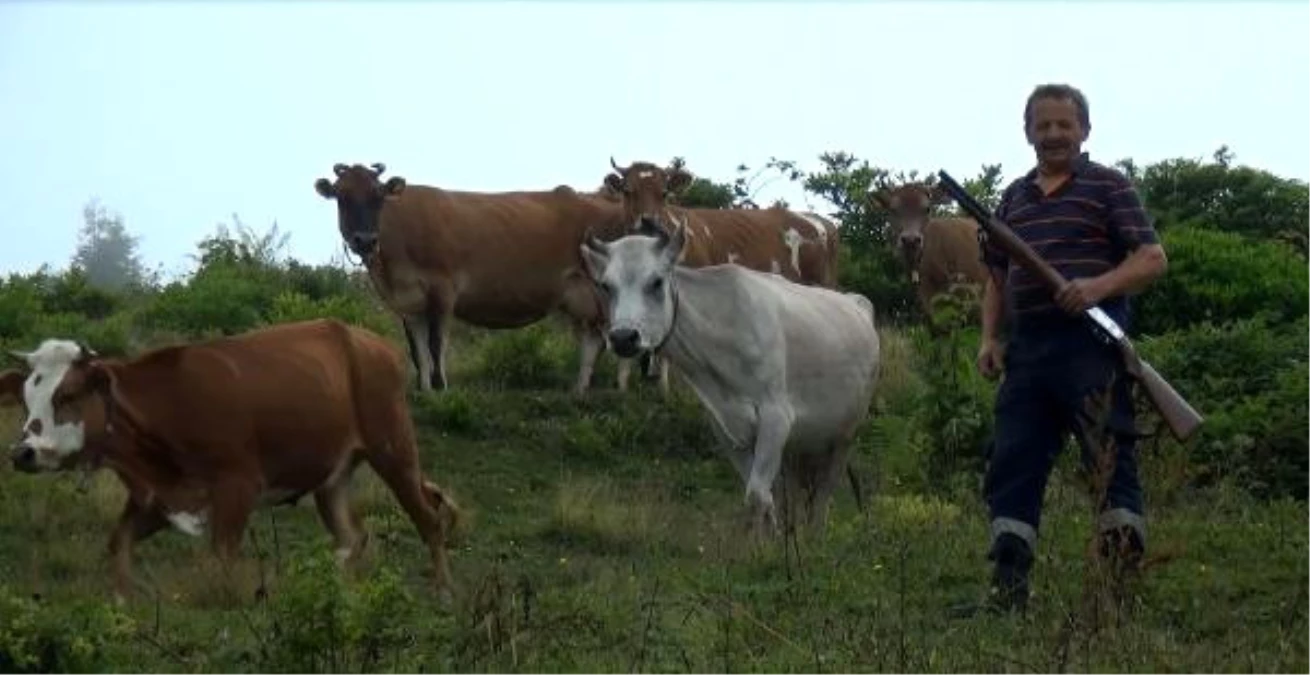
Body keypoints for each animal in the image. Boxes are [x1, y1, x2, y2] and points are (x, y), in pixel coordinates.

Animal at [0, 321, 463, 602]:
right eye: (25, 397)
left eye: (67, 395)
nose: (22, 452)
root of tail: (369, 341)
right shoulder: (157, 497)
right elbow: (119, 543)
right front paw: (122, 599)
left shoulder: (237, 488)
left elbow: (221, 561)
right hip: (332, 476)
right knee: (352, 537)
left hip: (394, 450)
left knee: (428, 518)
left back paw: (443, 590)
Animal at [309, 164, 631, 395]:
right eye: (342, 197)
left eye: (378, 197)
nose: (364, 239)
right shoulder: (408, 303)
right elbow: (417, 350)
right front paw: (424, 390)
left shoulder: (443, 287)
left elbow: (436, 343)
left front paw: (440, 387)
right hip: (580, 295)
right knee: (593, 338)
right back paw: (580, 389)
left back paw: (621, 388)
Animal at [581, 218, 880, 537]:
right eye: (606, 286)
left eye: (657, 281)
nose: (623, 337)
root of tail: (856, 301)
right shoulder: (725, 429)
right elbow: (763, 497)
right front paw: (768, 542)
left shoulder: (776, 417)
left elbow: (757, 496)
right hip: (799, 444)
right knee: (794, 490)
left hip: (844, 435)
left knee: (824, 493)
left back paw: (815, 537)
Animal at [599, 158, 838, 390]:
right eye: (628, 191)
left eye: (664, 193)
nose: (649, 221)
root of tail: (819, 221)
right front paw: (624, 386)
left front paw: (665, 388)